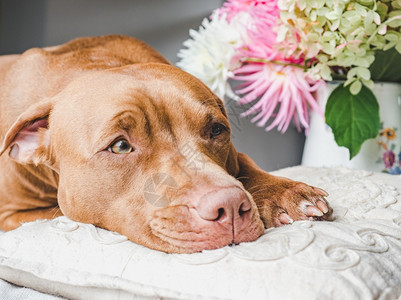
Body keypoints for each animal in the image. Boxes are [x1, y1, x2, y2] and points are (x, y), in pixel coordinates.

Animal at [0, 35, 332, 253]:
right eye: (120, 146)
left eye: (216, 130)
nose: (229, 204)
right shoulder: (10, 218)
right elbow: (59, 212)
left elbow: (246, 163)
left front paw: (285, 192)